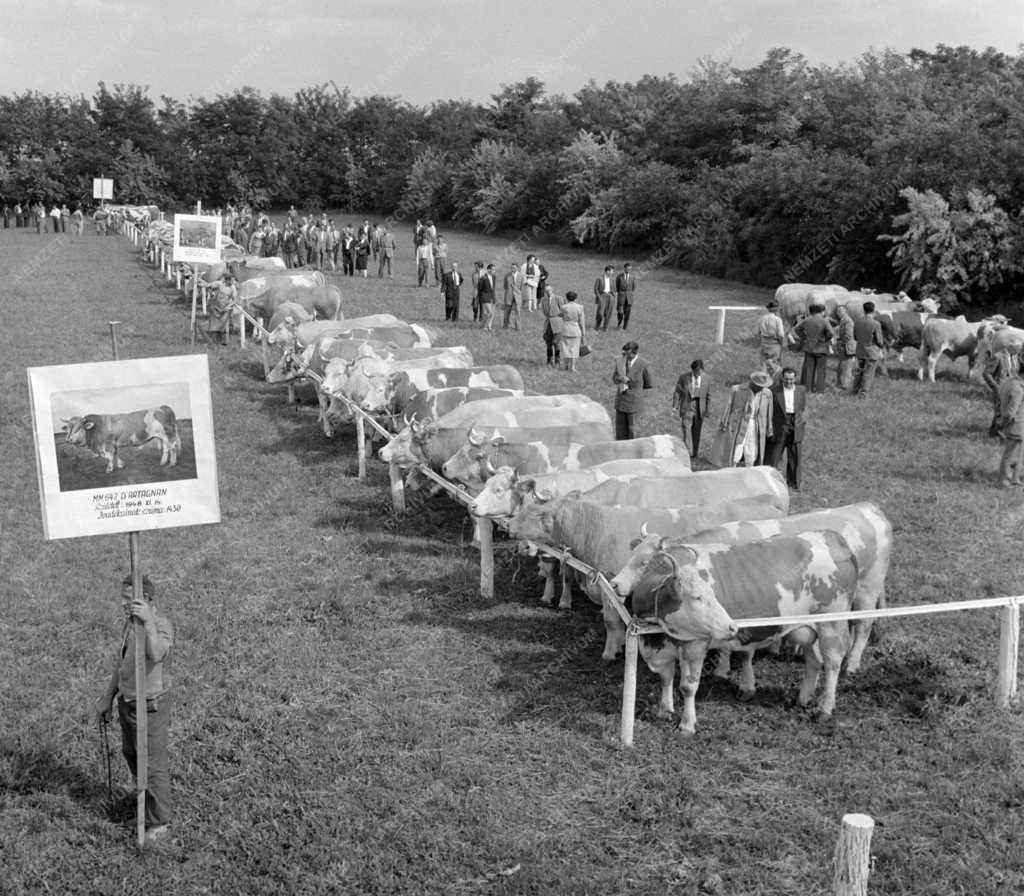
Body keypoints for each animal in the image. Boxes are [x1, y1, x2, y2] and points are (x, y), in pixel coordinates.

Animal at [610, 528, 860, 733]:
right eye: (632, 556)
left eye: (644, 562)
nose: (614, 584)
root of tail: (832, 537)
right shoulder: (664, 645)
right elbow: (666, 677)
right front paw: (665, 710)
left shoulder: (696, 643)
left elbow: (688, 686)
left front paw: (687, 724)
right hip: (810, 629)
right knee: (814, 660)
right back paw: (804, 698)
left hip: (832, 625)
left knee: (833, 663)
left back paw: (825, 709)